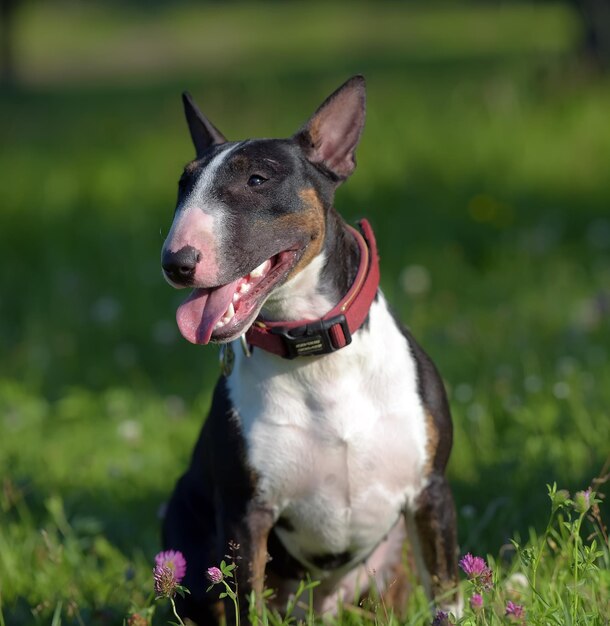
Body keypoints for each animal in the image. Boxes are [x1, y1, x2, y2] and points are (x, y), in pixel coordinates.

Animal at [160, 75, 456, 620]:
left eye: (257, 179)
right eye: (182, 185)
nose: (176, 262)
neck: (317, 356)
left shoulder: (432, 494)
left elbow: (451, 593)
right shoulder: (245, 517)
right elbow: (245, 606)